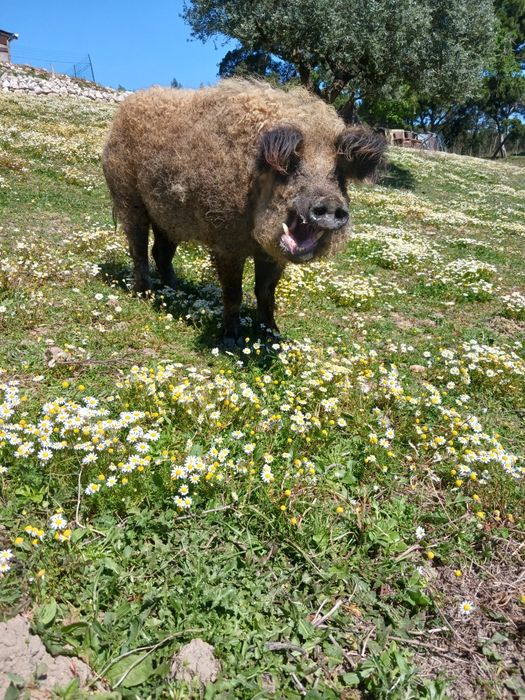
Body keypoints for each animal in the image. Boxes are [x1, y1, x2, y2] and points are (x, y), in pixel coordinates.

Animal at [102, 80, 386, 345]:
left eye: (338, 175)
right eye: (291, 167)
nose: (329, 203)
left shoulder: (273, 255)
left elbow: (266, 292)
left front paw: (272, 335)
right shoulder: (225, 241)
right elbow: (233, 292)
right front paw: (232, 341)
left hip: (168, 217)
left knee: (160, 252)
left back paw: (179, 290)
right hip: (127, 196)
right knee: (138, 248)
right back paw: (145, 294)